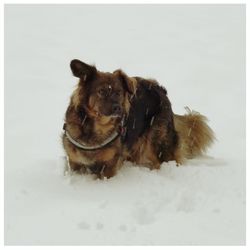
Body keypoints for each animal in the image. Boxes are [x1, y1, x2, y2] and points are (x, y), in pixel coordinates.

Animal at [62, 59, 215, 179]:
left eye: (119, 92)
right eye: (102, 91)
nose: (118, 108)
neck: (96, 130)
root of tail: (160, 89)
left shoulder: (109, 167)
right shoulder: (75, 163)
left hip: (157, 142)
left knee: (163, 160)